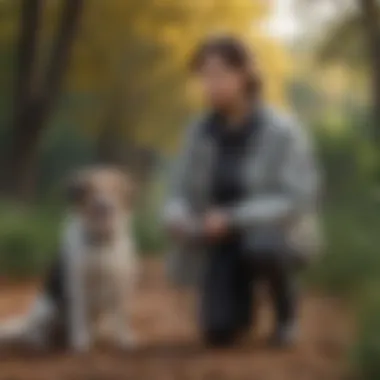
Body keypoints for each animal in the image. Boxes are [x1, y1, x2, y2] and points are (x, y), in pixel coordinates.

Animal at [0, 168, 138, 352]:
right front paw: (81, 345)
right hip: (47, 309)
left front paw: (125, 341)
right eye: (90, 189)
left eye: (116, 189)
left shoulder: (121, 288)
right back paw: (41, 342)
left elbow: (122, 319)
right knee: (35, 332)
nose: (104, 206)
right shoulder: (79, 287)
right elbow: (80, 318)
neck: (100, 242)